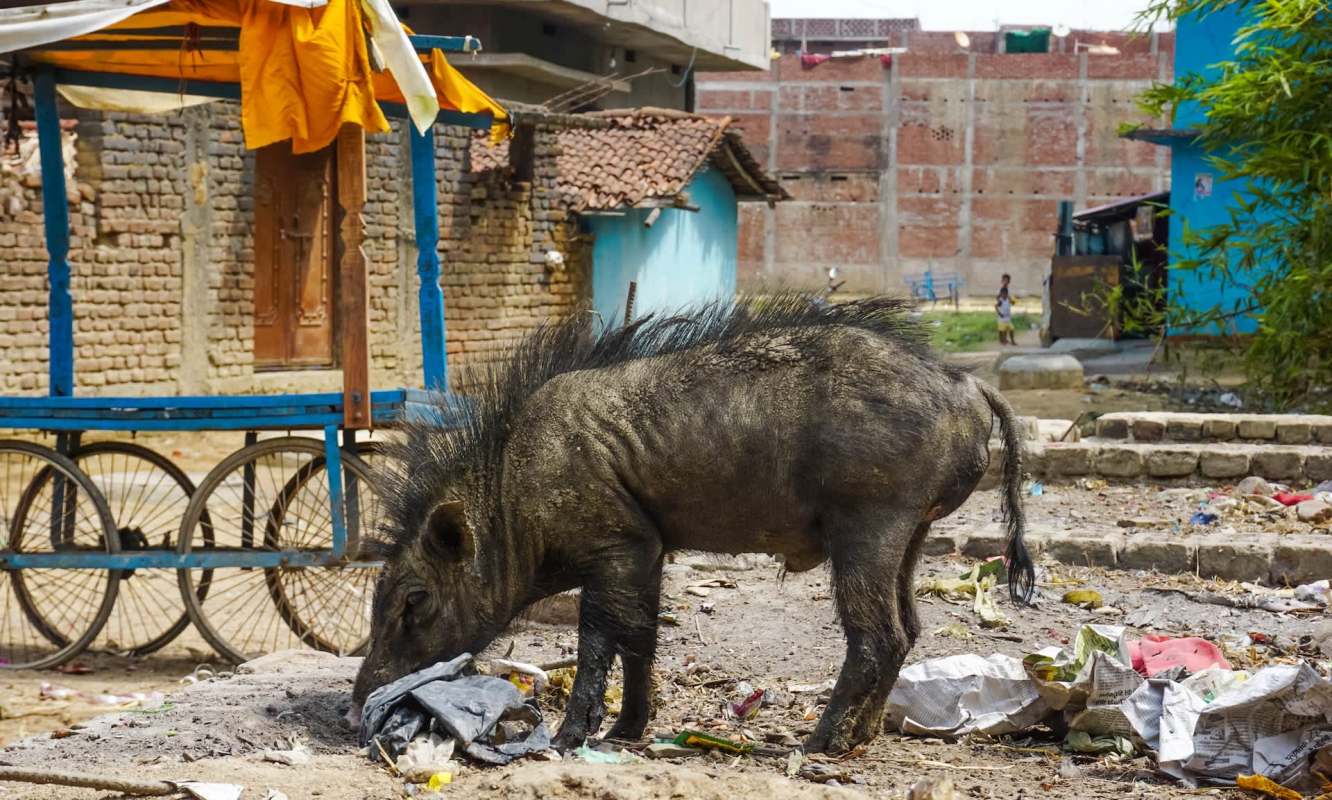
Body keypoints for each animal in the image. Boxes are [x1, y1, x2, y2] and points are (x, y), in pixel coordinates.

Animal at [354, 295, 1033, 755]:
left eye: (414, 599)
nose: (358, 702)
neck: (510, 493)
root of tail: (968, 383)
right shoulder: (650, 549)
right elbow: (642, 637)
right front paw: (626, 731)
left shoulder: (615, 546)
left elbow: (598, 640)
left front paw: (569, 739)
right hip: (910, 533)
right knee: (909, 628)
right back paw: (860, 739)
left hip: (870, 525)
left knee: (878, 636)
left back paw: (819, 744)